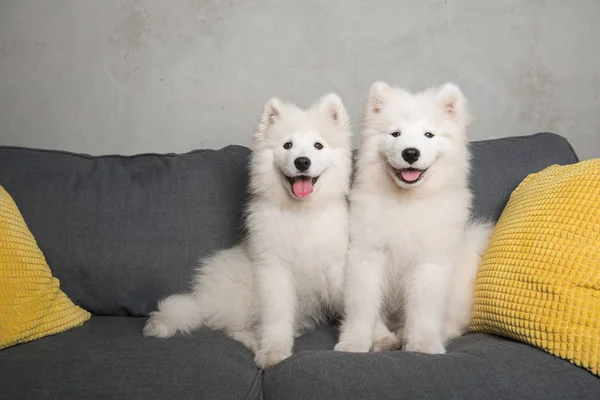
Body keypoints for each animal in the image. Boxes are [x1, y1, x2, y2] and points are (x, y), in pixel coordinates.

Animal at [144, 94, 354, 368]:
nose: (302, 162)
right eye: (287, 145)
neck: (301, 213)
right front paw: (274, 351)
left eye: (318, 145)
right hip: (240, 293)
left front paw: (377, 337)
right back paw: (256, 341)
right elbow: (276, 315)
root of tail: (201, 300)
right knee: (231, 327)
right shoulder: (274, 269)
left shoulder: (336, 262)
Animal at [332, 80, 492, 354]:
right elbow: (362, 306)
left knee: (454, 323)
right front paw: (354, 343)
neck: (407, 201)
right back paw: (384, 339)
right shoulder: (368, 254)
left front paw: (423, 344)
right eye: (395, 134)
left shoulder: (430, 261)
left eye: (428, 135)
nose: (410, 153)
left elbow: (423, 309)